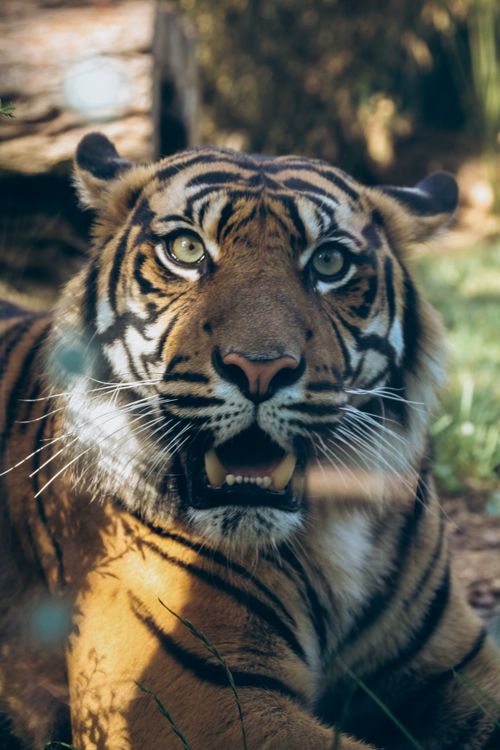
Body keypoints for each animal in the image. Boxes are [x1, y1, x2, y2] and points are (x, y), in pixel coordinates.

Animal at [0, 131, 499, 750]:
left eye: (329, 262)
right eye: (187, 250)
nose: (260, 369)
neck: (333, 528)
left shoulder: (458, 664)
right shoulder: (195, 700)